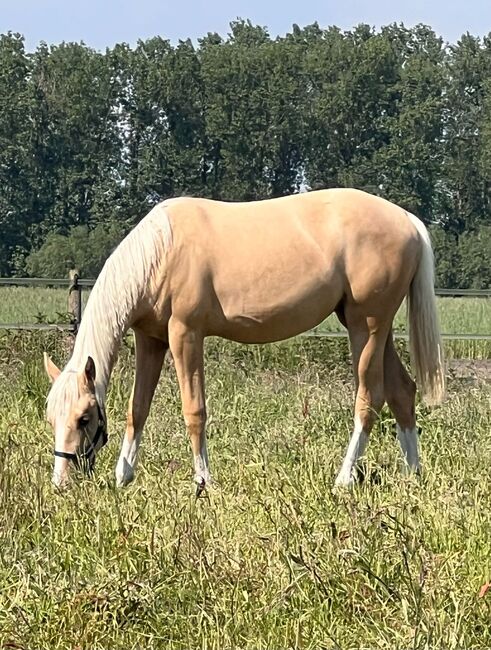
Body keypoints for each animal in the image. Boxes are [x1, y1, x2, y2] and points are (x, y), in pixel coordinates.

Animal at [43, 190, 446, 488]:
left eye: (84, 418)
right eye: (51, 417)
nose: (61, 482)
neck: (161, 251)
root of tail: (408, 220)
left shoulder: (185, 334)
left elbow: (194, 410)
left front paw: (203, 481)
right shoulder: (151, 339)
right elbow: (137, 408)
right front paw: (123, 476)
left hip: (368, 327)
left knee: (370, 397)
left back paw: (344, 479)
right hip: (371, 327)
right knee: (402, 391)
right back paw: (413, 474)